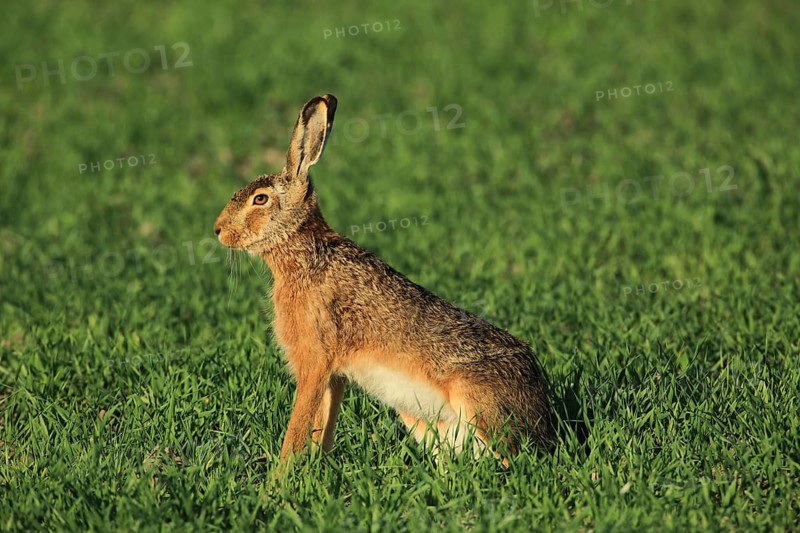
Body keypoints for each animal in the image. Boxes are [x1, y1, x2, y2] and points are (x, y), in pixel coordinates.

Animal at [214, 94, 555, 465]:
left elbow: (300, 424)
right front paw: (316, 467)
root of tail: (544, 417)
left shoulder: (315, 362)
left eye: (260, 199)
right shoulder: (334, 375)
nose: (218, 230)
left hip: (475, 400)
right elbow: (323, 423)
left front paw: (283, 473)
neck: (304, 256)